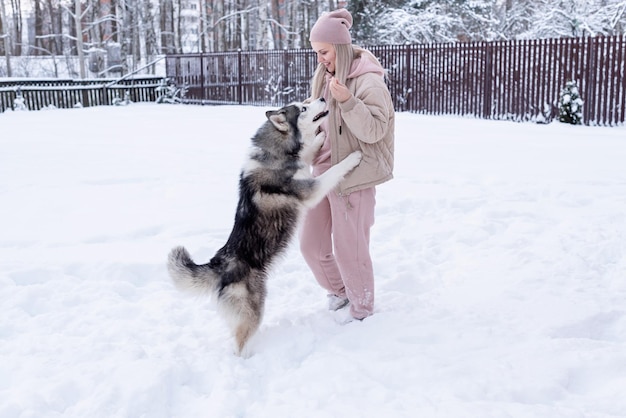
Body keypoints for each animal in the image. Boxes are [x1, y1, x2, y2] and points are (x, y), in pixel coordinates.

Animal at [166, 99, 360, 356]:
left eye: (305, 102)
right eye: (303, 109)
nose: (321, 99)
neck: (276, 152)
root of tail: (219, 263)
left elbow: (309, 152)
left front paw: (319, 139)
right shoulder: (311, 190)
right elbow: (334, 170)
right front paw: (354, 157)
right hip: (253, 310)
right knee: (240, 343)